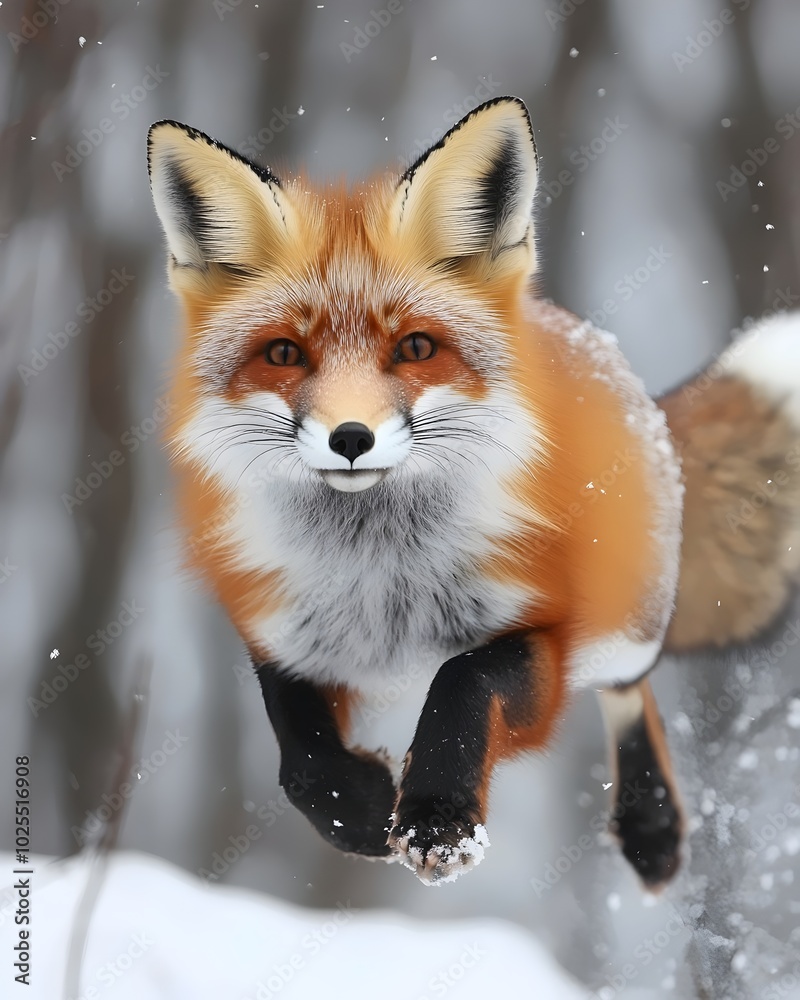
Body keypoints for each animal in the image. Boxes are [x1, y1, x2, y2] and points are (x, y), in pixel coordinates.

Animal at [147, 96, 800, 888]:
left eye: (416, 348)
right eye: (283, 354)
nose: (351, 438)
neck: (380, 576)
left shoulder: (542, 632)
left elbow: (463, 679)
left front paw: (437, 817)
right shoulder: (281, 631)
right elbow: (302, 763)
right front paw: (363, 810)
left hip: (618, 633)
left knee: (631, 685)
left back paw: (651, 825)